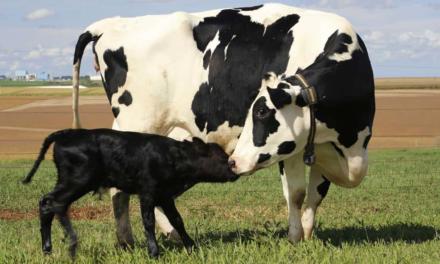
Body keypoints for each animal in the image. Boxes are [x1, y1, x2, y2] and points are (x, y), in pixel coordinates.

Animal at [22, 129, 239, 258]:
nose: (234, 170)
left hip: (70, 182)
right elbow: (149, 221)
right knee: (54, 204)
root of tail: (65, 133)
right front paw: (154, 252)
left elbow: (177, 220)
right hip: (77, 181)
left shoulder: (165, 196)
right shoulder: (147, 192)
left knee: (48, 204)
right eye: (221, 157)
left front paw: (191, 246)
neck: (172, 156)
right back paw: (71, 244)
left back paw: (47, 249)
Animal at [72, 3, 374, 245]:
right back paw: (126, 239)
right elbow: (297, 194)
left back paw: (168, 234)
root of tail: (108, 25)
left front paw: (309, 234)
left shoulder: (324, 147)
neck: (349, 140)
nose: (234, 162)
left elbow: (317, 194)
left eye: (261, 112)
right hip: (138, 124)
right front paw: (295, 238)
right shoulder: (293, 150)